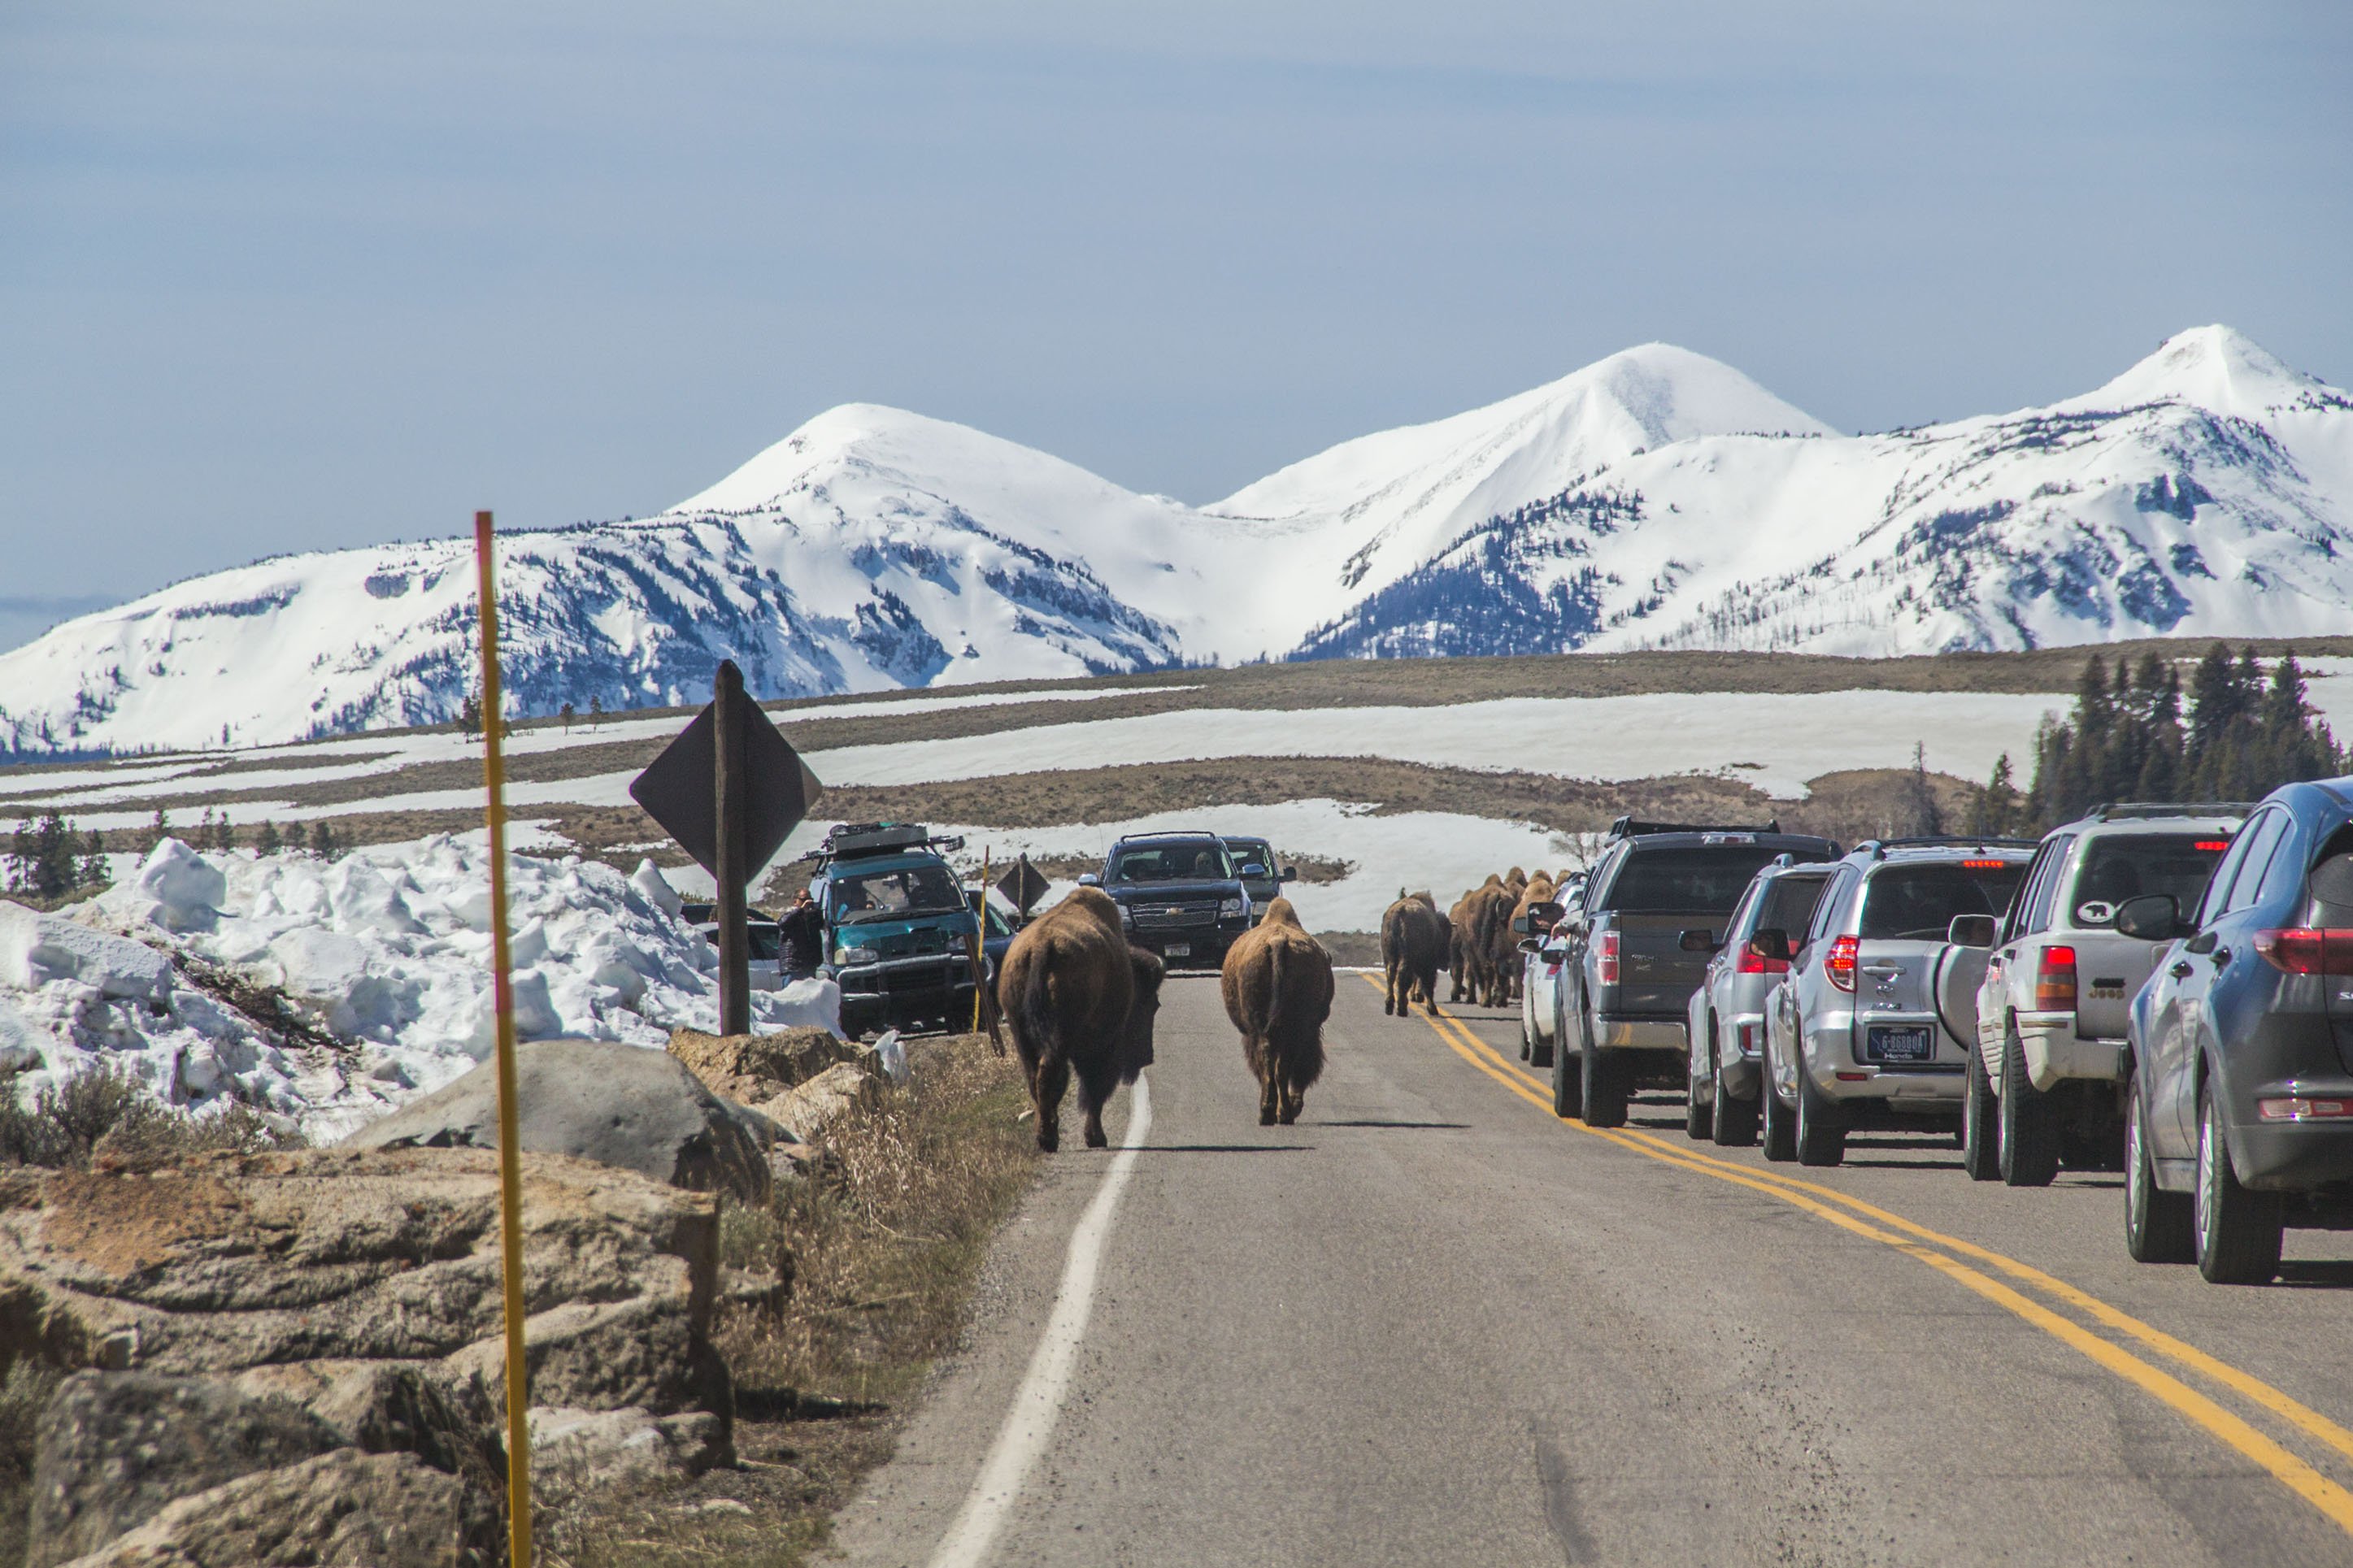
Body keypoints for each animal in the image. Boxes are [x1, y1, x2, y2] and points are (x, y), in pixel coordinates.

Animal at [1002, 888, 1167, 1161]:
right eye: (1151, 1005)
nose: (1148, 1056)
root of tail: (1041, 947)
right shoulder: (1104, 1046)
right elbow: (1095, 1089)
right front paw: (1096, 1138)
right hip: (1063, 1039)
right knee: (1054, 1077)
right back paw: (1050, 1139)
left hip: (1021, 1036)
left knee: (1036, 1080)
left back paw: (1044, 1136)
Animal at [1223, 893, 1336, 1128]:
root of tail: (1277, 942)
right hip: (1291, 1029)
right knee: (1281, 1066)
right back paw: (1282, 1112)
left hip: (1268, 1028)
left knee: (1272, 1064)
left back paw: (1271, 1113)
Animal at [1374, 893, 1449, 1020]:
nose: (1446, 963)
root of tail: (1400, 912)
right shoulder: (1429, 965)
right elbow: (1427, 985)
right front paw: (1432, 1009)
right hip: (1408, 959)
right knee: (1403, 977)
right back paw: (1402, 1009)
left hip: (1389, 957)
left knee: (1391, 975)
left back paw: (1390, 1007)